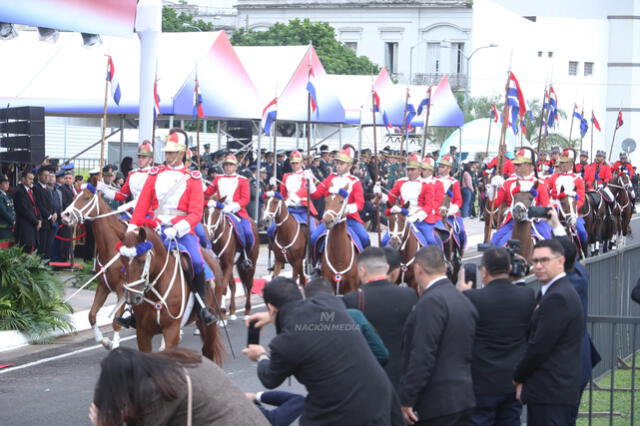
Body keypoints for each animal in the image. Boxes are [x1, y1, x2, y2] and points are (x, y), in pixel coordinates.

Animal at [61, 179, 127, 350]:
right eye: (74, 196)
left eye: (86, 197)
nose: (65, 215)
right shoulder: (103, 286)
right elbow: (91, 315)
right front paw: (105, 341)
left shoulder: (122, 289)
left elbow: (116, 321)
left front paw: (115, 344)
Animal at [120, 228, 225, 364]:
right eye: (122, 261)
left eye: (142, 261)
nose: (132, 298)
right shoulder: (143, 333)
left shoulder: (171, 330)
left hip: (210, 324)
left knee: (208, 351)